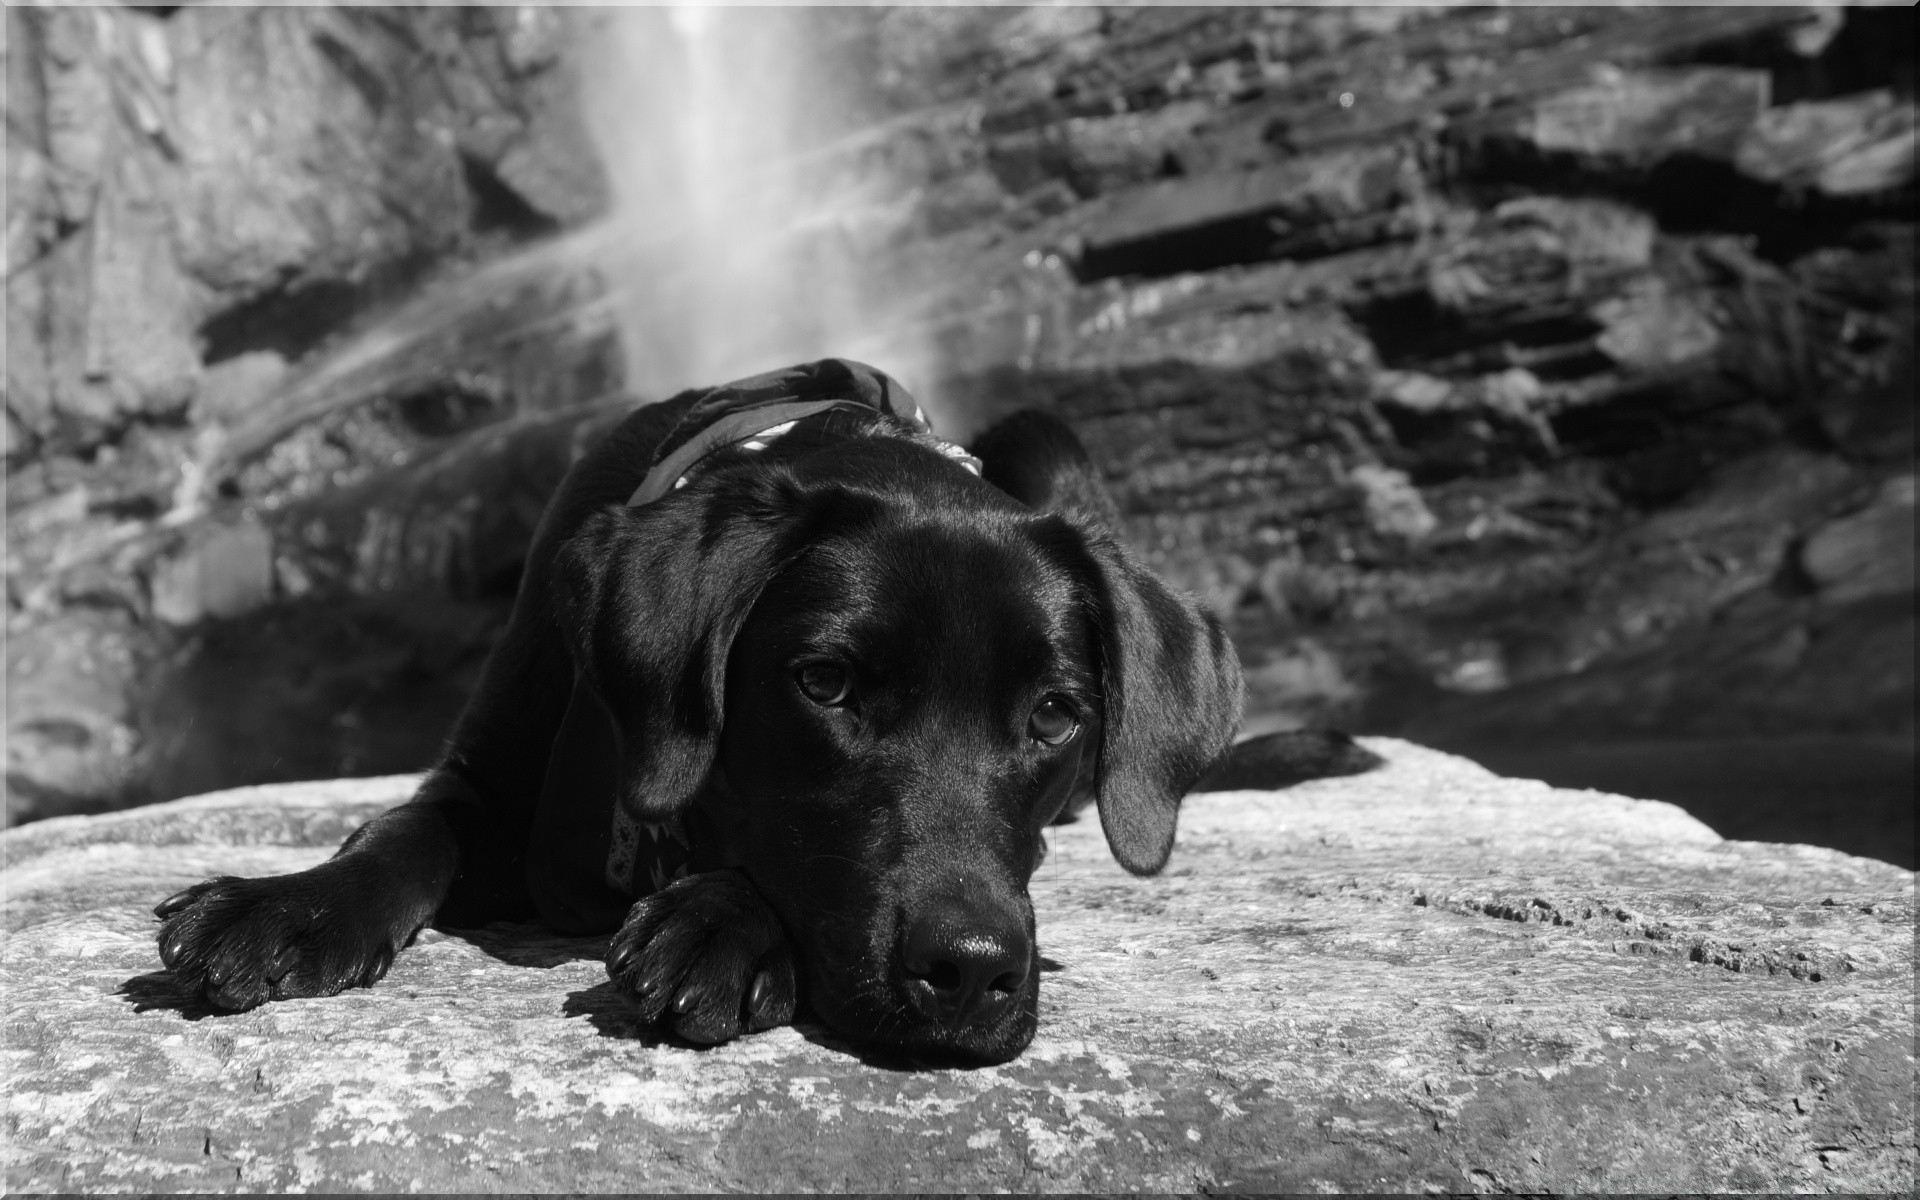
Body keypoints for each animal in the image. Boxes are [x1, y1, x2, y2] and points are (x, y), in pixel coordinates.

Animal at [153, 357, 1382, 1067]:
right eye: (825, 683)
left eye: (1054, 713)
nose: (972, 973)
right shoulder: (485, 776)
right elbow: (400, 831)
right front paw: (287, 909)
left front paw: (719, 926)